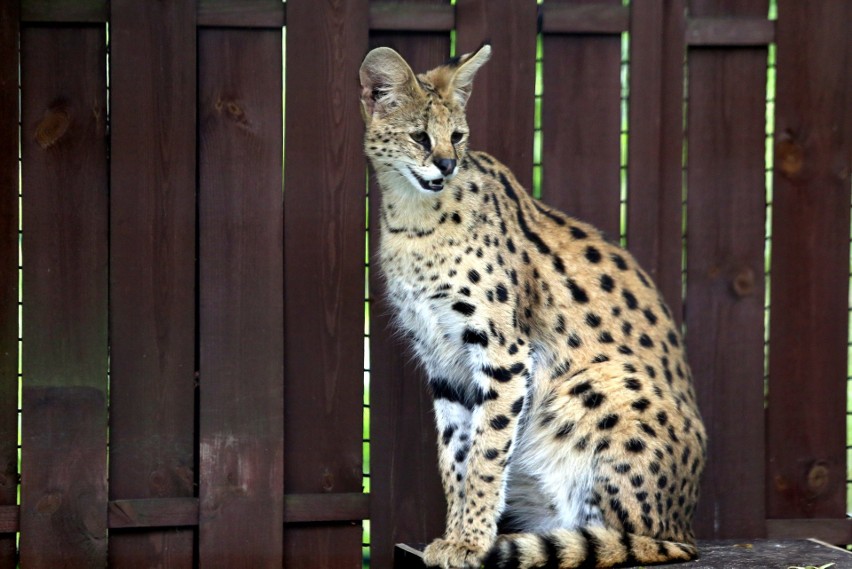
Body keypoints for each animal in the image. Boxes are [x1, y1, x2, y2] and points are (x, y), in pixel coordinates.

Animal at [358, 44, 704, 568]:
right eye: (419, 137)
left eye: (457, 137)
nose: (447, 165)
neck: (412, 222)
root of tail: (686, 527)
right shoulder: (443, 361)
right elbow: (454, 456)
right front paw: (457, 536)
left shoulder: (504, 351)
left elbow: (486, 452)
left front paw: (472, 541)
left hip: (594, 383)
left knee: (631, 538)